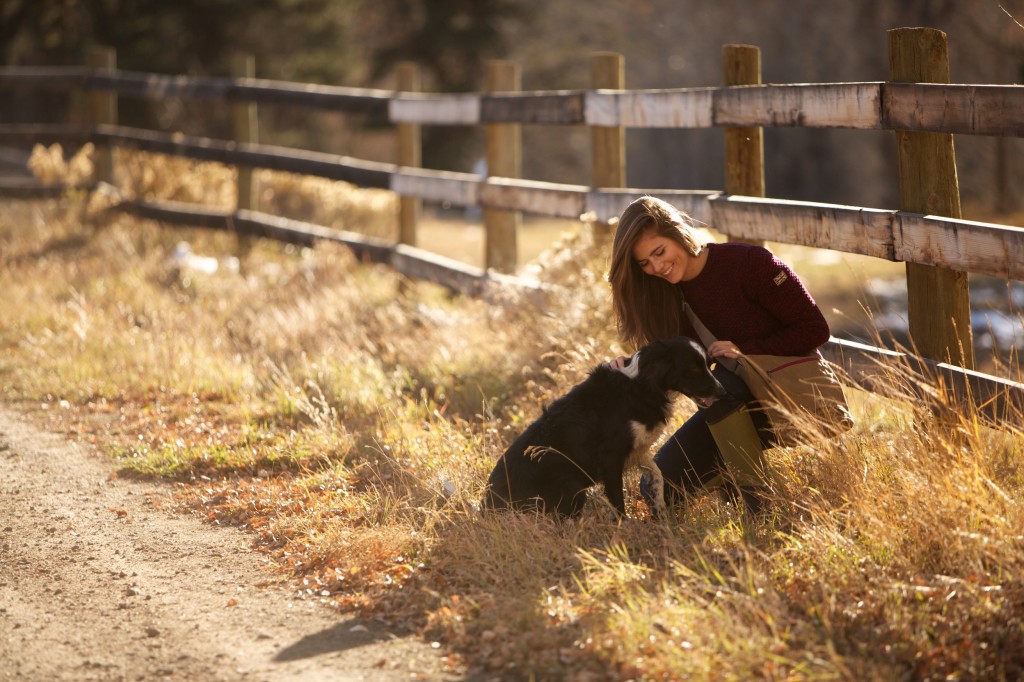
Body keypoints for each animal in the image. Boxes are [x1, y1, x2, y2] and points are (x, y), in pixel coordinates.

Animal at [483, 333, 724, 516]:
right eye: (693, 369)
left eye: (709, 364)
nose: (722, 391)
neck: (639, 386)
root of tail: (486, 506)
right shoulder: (611, 457)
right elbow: (617, 499)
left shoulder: (638, 450)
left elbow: (657, 477)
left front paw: (661, 512)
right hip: (570, 485)